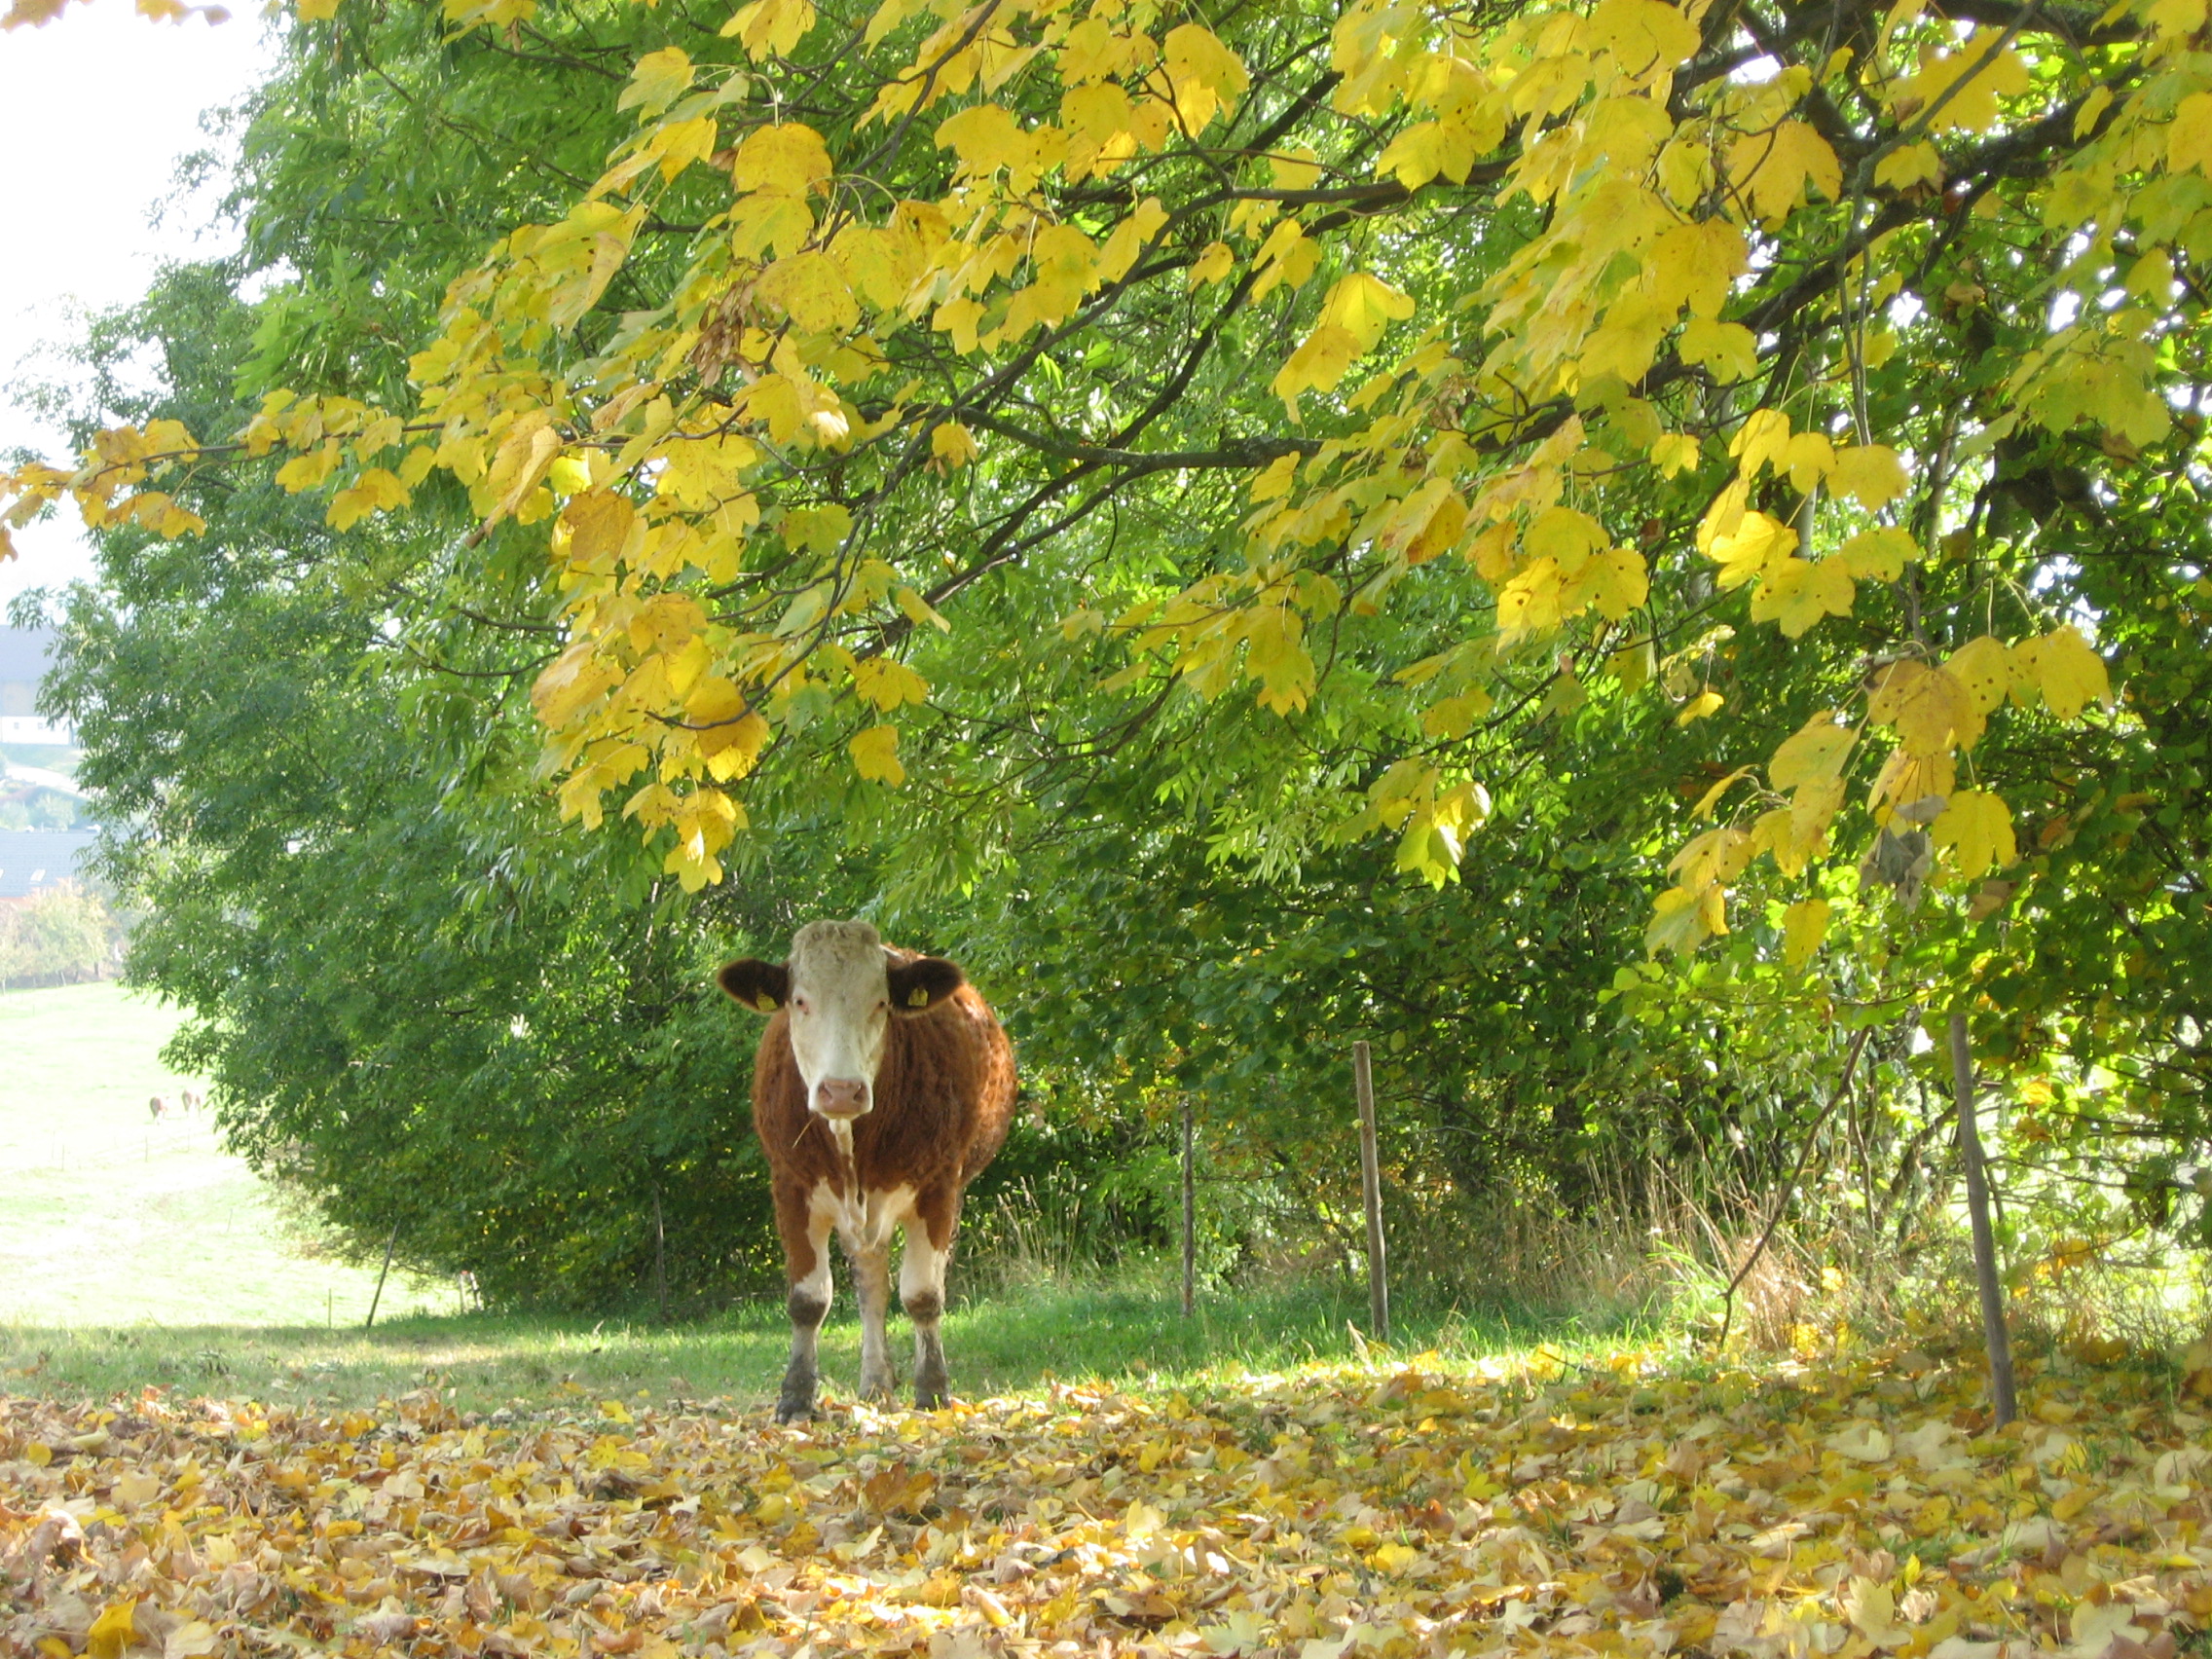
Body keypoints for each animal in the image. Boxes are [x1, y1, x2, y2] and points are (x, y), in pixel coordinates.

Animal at [717, 915, 1017, 1424]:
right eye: (800, 1001)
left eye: (880, 1004)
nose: (841, 1090)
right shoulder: (789, 1185)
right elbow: (808, 1300)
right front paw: (795, 1398)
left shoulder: (939, 1187)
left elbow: (923, 1295)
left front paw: (933, 1390)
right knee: (870, 1283)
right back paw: (875, 1382)